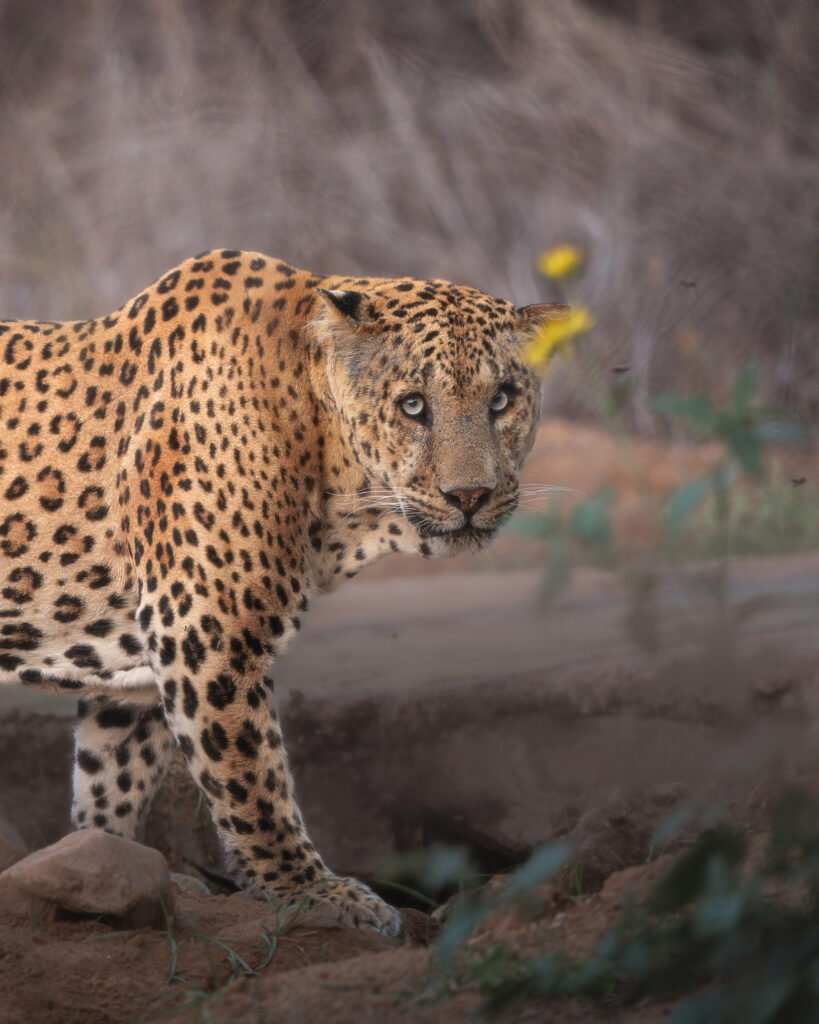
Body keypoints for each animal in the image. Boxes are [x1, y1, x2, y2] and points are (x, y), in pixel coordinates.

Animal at [0, 250, 566, 935]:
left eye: (502, 400)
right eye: (413, 407)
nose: (471, 496)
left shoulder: (135, 670)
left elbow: (113, 777)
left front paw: (104, 866)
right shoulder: (206, 633)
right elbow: (252, 781)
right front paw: (313, 892)